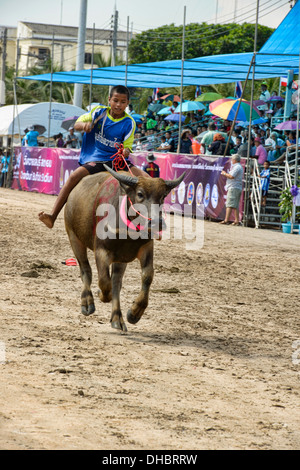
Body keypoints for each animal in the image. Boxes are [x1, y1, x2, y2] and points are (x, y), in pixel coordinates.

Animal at [64, 167, 184, 332]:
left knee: (116, 282)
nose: (157, 223)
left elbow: (147, 276)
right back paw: (87, 303)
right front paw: (101, 294)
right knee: (86, 271)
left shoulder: (146, 247)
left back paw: (117, 318)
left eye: (163, 196)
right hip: (74, 237)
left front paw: (134, 313)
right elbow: (103, 281)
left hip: (121, 258)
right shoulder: (101, 251)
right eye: (140, 194)